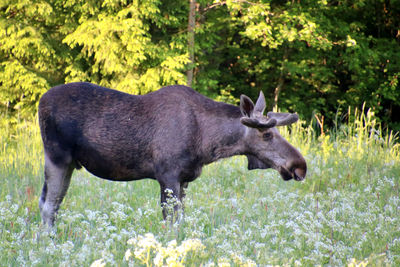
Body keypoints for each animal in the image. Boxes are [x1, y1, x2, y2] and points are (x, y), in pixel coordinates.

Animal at [38, 82, 306, 227]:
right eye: (267, 134)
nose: (300, 165)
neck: (206, 144)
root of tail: (40, 101)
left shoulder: (184, 179)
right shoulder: (167, 175)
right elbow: (171, 222)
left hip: (69, 164)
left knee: (50, 204)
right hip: (57, 157)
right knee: (48, 206)